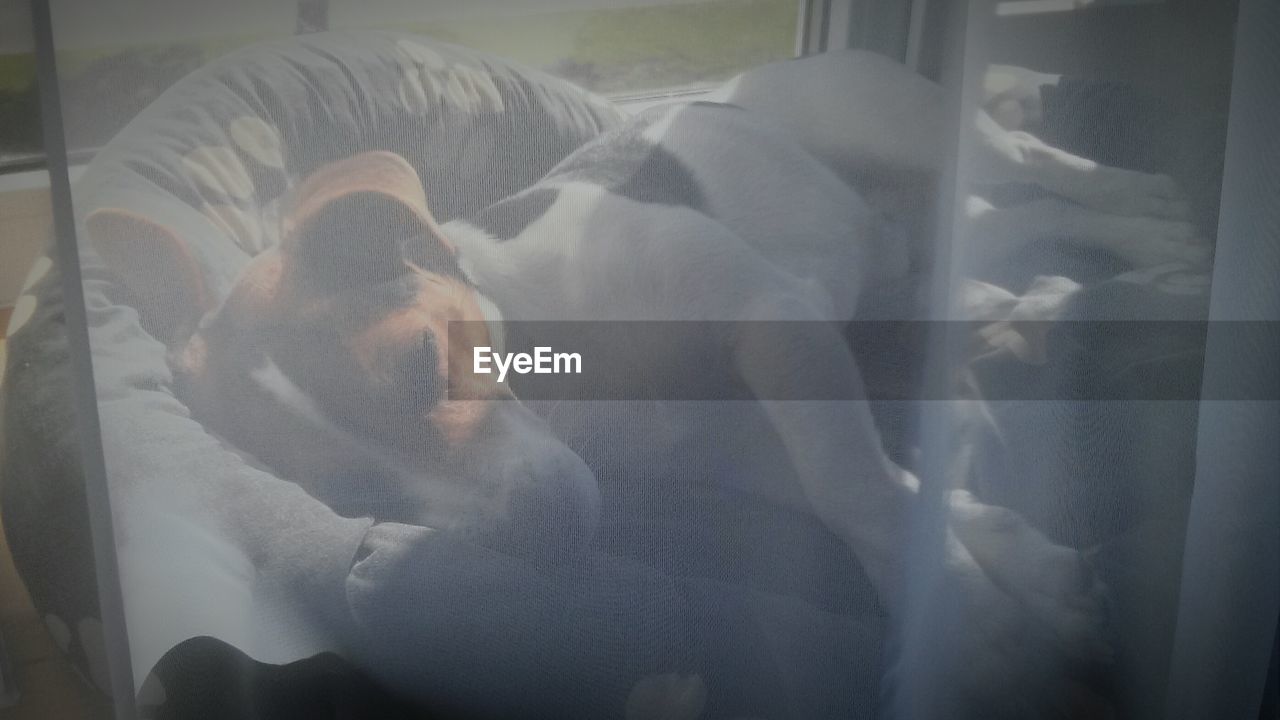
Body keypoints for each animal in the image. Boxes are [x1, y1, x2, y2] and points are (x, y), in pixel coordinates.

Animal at [87, 49, 1198, 712]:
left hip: (909, 132)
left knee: (1053, 172)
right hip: (927, 251)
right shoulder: (756, 444)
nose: (542, 540)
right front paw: (1029, 583)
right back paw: (1119, 266)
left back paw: (1156, 223)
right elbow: (899, 498)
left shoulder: (773, 324)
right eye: (345, 489)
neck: (576, 395)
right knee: (1016, 223)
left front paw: (974, 633)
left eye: (420, 364)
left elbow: (861, 492)